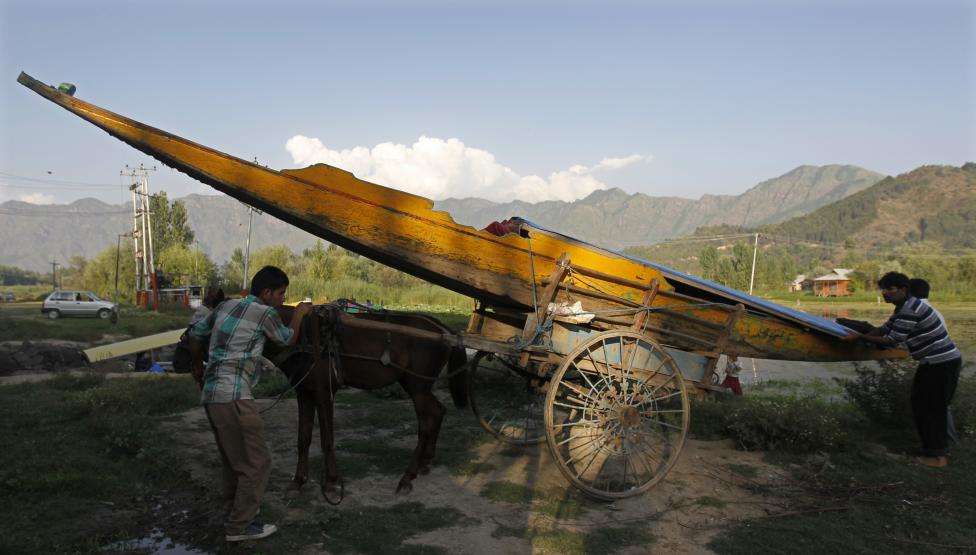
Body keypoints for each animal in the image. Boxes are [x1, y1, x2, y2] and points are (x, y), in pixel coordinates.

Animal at [264, 304, 468, 500]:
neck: (303, 334)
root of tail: (443, 330)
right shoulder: (304, 392)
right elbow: (303, 439)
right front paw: (297, 482)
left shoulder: (324, 392)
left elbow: (327, 440)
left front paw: (330, 483)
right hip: (417, 387)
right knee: (437, 412)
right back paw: (425, 463)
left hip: (418, 387)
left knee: (428, 421)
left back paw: (407, 477)